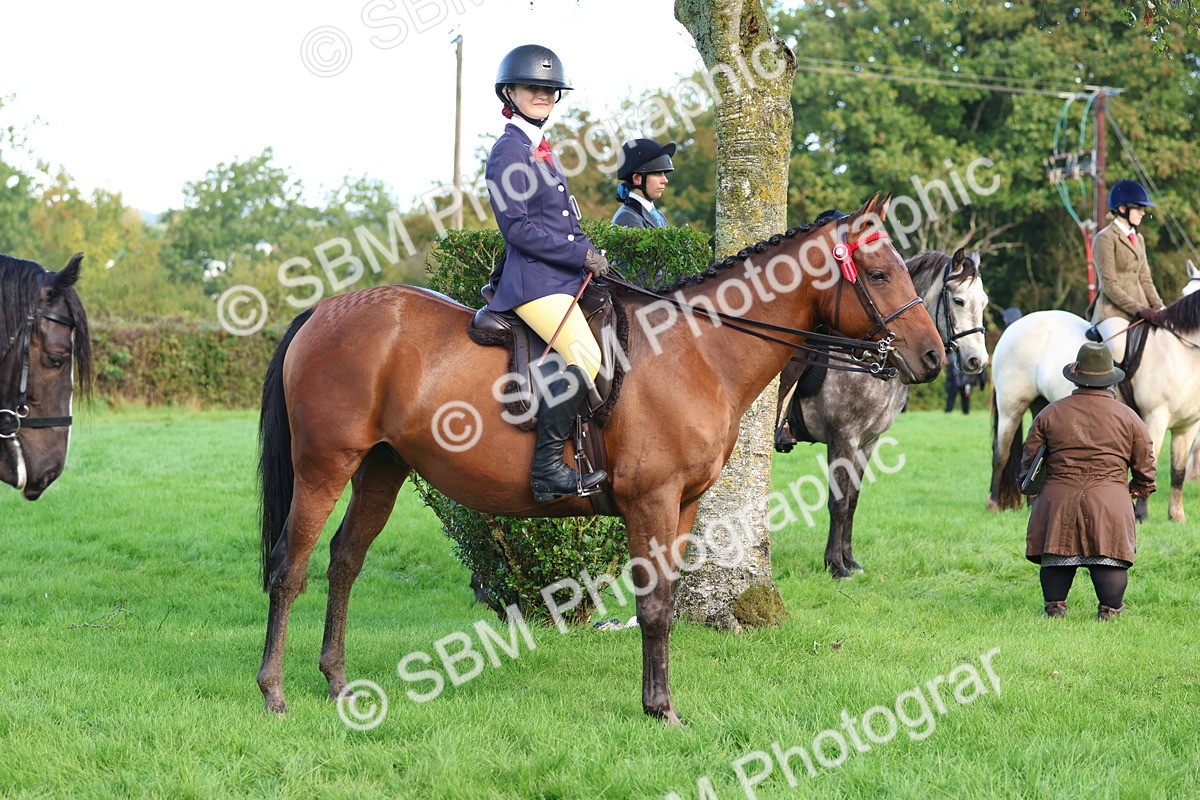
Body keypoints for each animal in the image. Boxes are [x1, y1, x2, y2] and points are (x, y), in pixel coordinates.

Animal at [255, 195, 944, 724]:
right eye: (879, 275)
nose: (935, 357)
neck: (697, 349)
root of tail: (324, 310)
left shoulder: (683, 506)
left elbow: (666, 599)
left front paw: (657, 701)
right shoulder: (651, 501)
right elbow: (654, 605)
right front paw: (661, 709)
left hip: (380, 467)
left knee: (344, 561)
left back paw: (338, 683)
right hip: (324, 467)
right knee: (290, 567)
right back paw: (275, 693)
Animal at [777, 248, 989, 578]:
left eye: (984, 302)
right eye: (958, 301)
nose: (977, 360)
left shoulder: (868, 441)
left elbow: (852, 500)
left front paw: (850, 561)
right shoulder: (844, 438)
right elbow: (838, 502)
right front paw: (835, 565)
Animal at [988, 289, 1200, 523]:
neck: (1179, 352)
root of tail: (1014, 327)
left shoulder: (1187, 427)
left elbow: (1178, 472)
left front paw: (1177, 516)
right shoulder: (1155, 418)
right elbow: (1148, 466)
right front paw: (1141, 515)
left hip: (1040, 404)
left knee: (1030, 452)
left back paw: (1033, 503)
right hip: (1011, 406)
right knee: (1001, 452)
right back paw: (993, 503)